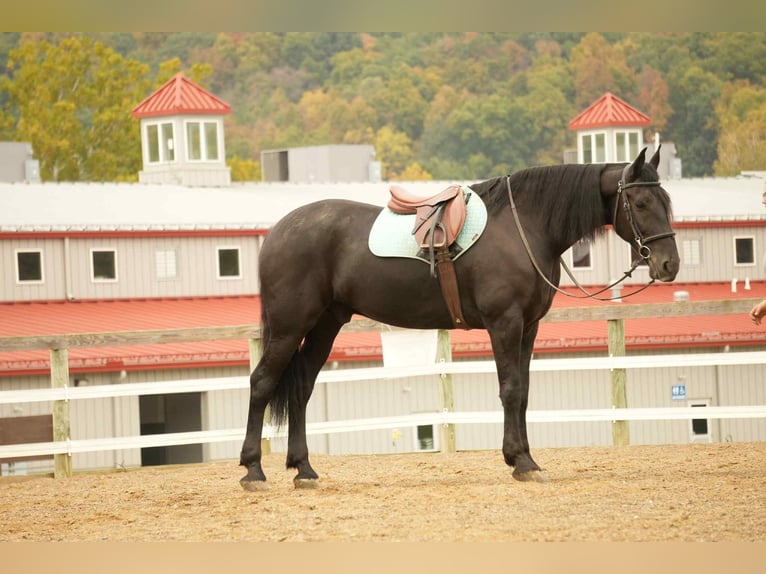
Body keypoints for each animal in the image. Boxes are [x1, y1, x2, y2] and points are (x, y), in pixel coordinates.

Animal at [239, 146, 679, 490]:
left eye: (666, 203)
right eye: (641, 204)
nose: (669, 264)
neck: (523, 228)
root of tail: (278, 231)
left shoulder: (529, 327)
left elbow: (524, 391)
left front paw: (526, 459)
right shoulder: (505, 323)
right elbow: (510, 390)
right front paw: (520, 461)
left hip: (324, 326)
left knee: (301, 389)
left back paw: (304, 469)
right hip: (289, 327)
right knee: (261, 383)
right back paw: (253, 470)